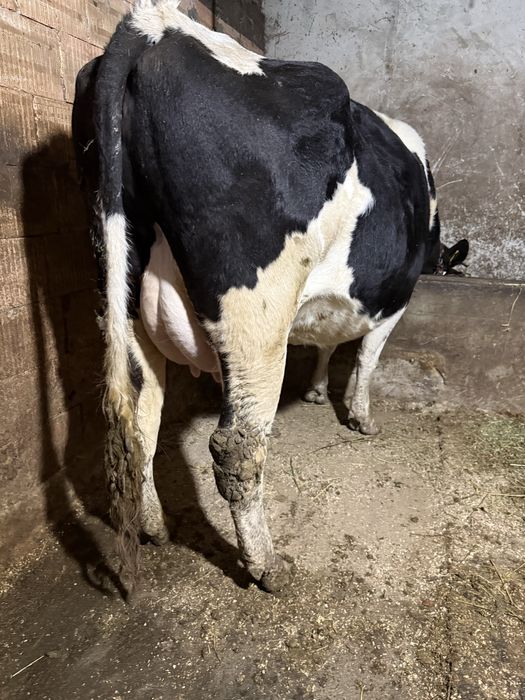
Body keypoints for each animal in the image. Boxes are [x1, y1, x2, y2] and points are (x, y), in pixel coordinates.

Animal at [72, 0, 468, 595]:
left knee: (140, 419)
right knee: (237, 445)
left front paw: (316, 392)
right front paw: (360, 416)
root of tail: (157, 24)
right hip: (255, 312)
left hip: (121, 289)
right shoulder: (393, 302)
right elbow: (367, 359)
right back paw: (266, 566)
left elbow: (328, 343)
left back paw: (154, 527)